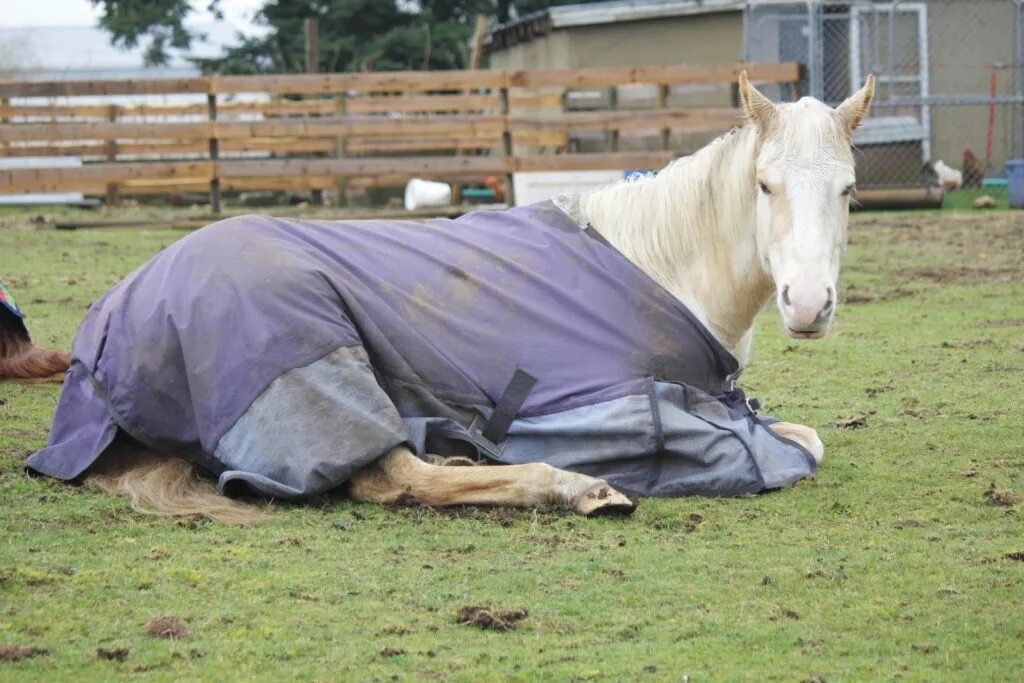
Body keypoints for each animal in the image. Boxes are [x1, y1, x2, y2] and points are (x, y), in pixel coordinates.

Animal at [25, 73, 872, 524]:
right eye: (764, 186)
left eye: (849, 190)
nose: (807, 305)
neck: (658, 264)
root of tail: (112, 316)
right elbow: (802, 447)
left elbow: (810, 436)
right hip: (320, 372)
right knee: (392, 475)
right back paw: (572, 484)